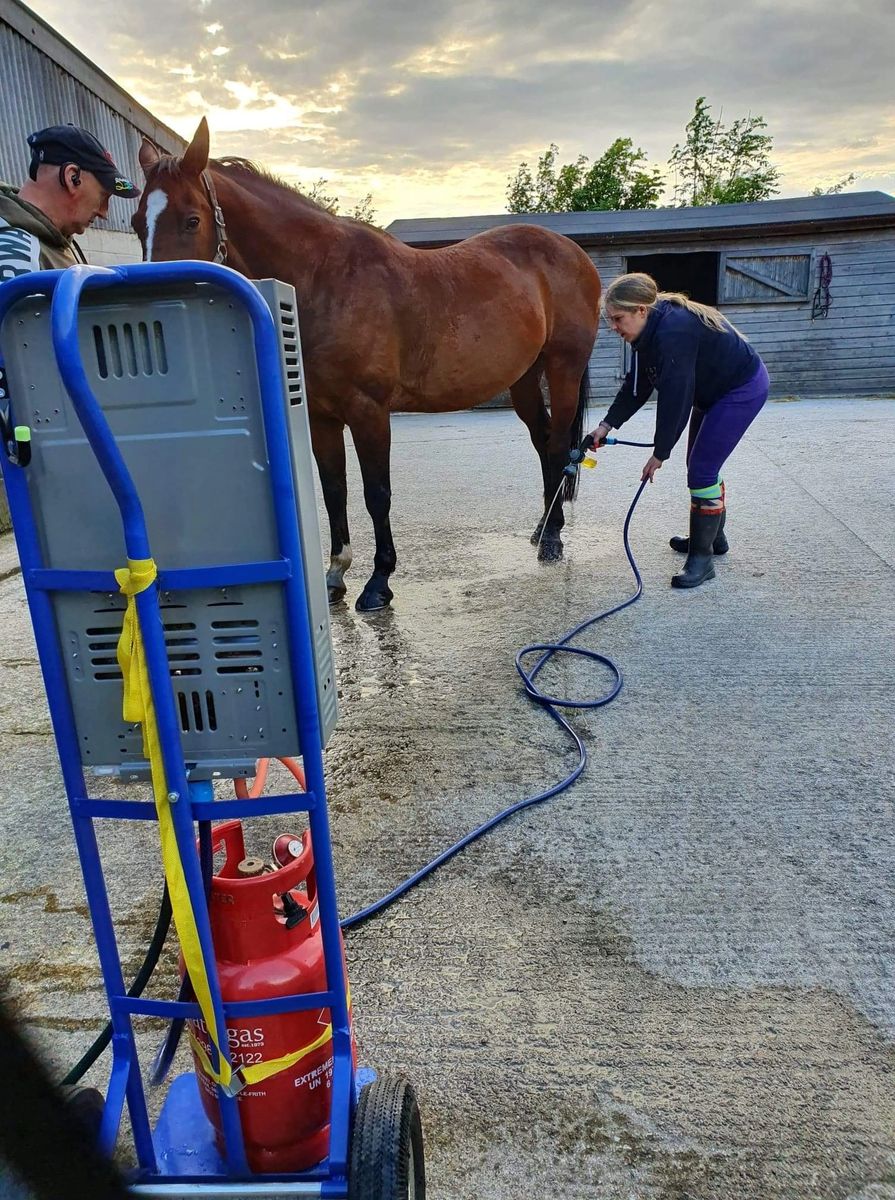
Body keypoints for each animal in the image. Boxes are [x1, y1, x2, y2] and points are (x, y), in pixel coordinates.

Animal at [132, 119, 602, 612]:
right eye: (136, 222)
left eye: (192, 219)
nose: (152, 308)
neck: (326, 279)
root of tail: (571, 253)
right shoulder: (321, 418)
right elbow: (333, 490)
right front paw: (336, 574)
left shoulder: (369, 411)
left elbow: (377, 494)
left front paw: (379, 581)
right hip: (524, 378)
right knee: (542, 439)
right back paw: (543, 528)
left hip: (563, 368)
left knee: (557, 445)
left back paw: (552, 541)